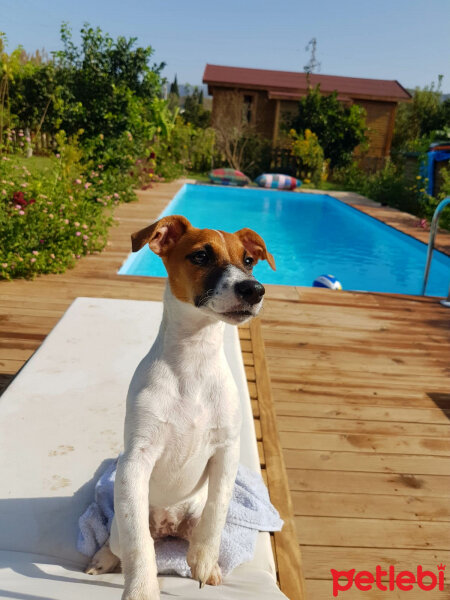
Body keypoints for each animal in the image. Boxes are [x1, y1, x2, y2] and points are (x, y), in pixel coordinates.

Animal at [84, 216, 274, 600]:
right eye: (201, 256)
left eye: (249, 261)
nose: (254, 290)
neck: (194, 361)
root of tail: (168, 525)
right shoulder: (136, 460)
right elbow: (138, 543)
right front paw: (142, 588)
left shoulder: (227, 450)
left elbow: (217, 512)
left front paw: (203, 561)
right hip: (121, 526)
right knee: (122, 543)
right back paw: (103, 558)